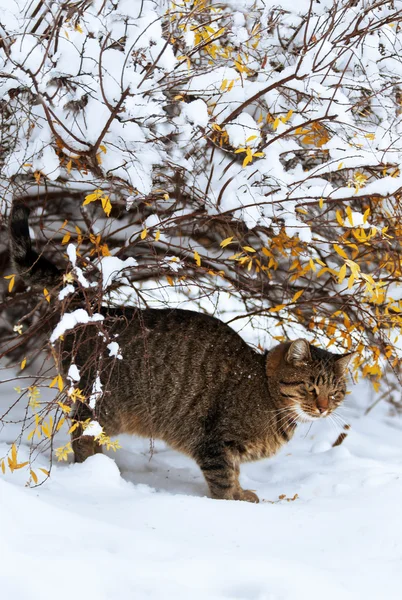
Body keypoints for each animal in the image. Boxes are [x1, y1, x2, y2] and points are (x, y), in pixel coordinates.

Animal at [9, 202, 354, 502]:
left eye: (336, 392)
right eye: (310, 387)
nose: (324, 407)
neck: (268, 395)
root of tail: (93, 306)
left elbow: (234, 474)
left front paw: (242, 493)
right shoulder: (215, 443)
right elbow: (224, 478)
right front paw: (234, 501)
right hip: (97, 405)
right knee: (82, 440)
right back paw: (96, 475)